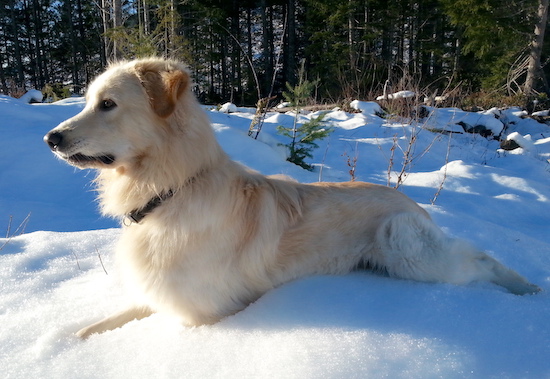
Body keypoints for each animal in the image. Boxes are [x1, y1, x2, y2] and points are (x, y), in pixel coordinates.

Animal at [44, 58, 544, 338]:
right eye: (88, 100)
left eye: (108, 104)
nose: (50, 138)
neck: (171, 190)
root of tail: (408, 200)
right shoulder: (161, 293)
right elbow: (98, 325)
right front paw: (69, 341)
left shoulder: (206, 313)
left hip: (411, 254)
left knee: (478, 258)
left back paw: (527, 290)